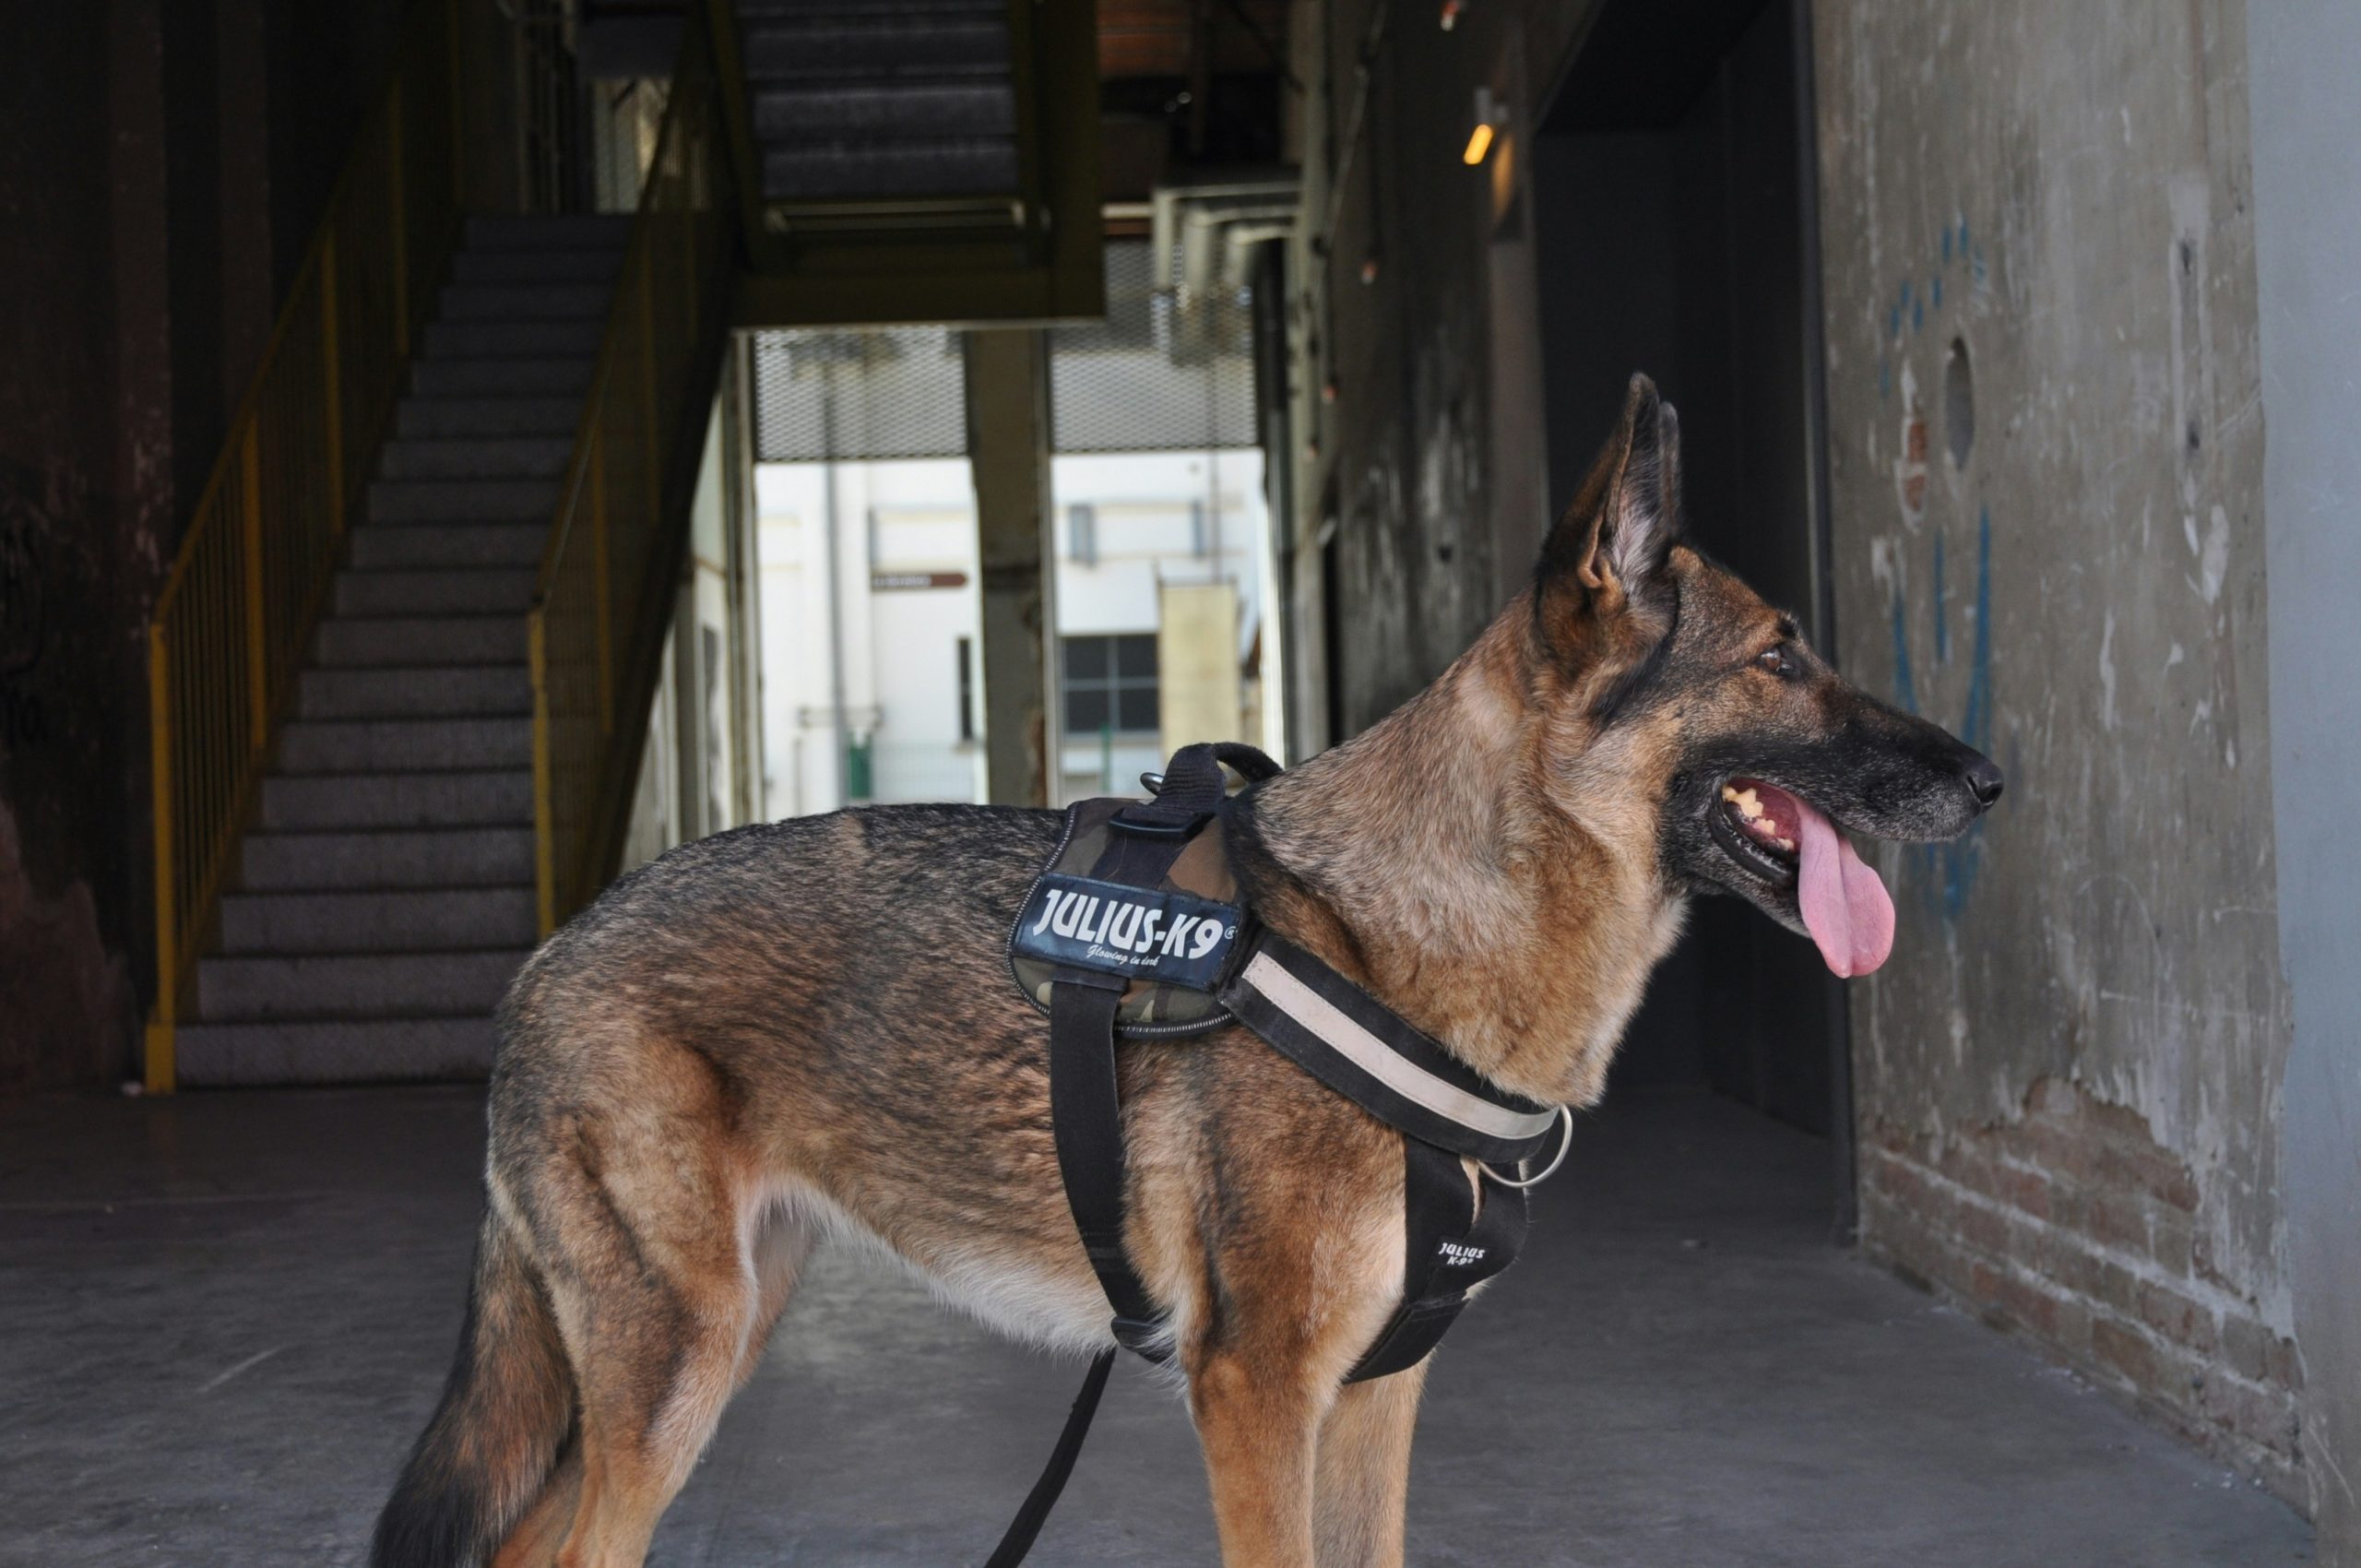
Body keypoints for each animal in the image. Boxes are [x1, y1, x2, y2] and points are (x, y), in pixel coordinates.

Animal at [377, 380, 2001, 1568]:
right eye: (1781, 658)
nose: (1991, 780)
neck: (1390, 938)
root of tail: (544, 957)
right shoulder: (1255, 1394)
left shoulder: (1374, 1401)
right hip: (679, 1370)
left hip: (712, 1339)